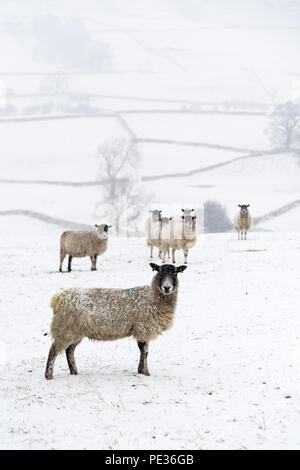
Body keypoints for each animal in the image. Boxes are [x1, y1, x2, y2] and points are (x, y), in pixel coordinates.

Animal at [44, 262, 188, 380]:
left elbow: (144, 351)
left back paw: (74, 372)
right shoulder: (143, 328)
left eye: (175, 272)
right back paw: (49, 375)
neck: (152, 298)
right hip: (65, 328)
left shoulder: (142, 329)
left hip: (75, 330)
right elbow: (145, 351)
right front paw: (145, 372)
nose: (167, 288)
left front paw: (141, 370)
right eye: (159, 271)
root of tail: (59, 298)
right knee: (53, 350)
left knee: (69, 350)